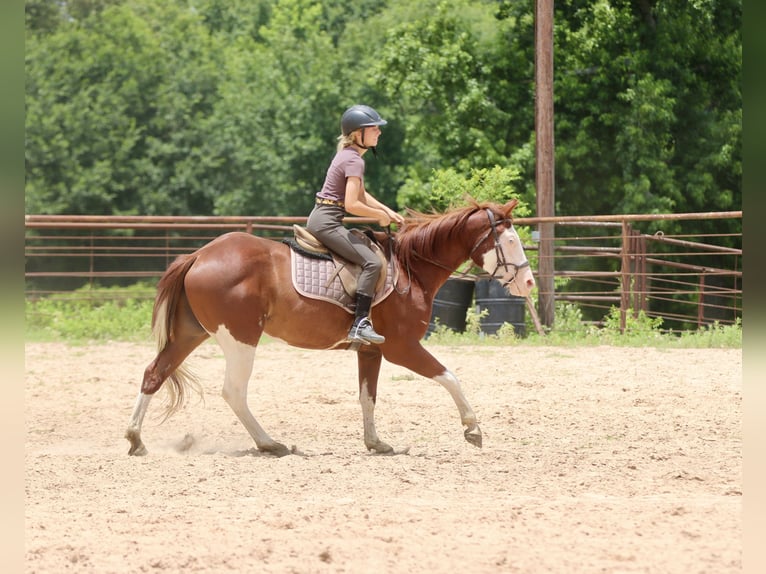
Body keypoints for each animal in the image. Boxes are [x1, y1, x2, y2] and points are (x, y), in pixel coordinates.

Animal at [125, 198, 536, 456]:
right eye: (510, 240)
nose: (529, 283)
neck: (411, 269)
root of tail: (199, 254)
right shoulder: (402, 348)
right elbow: (450, 377)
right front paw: (473, 428)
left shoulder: (372, 350)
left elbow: (368, 397)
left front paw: (375, 443)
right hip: (240, 339)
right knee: (233, 392)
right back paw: (269, 444)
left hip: (191, 334)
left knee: (154, 374)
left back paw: (135, 439)